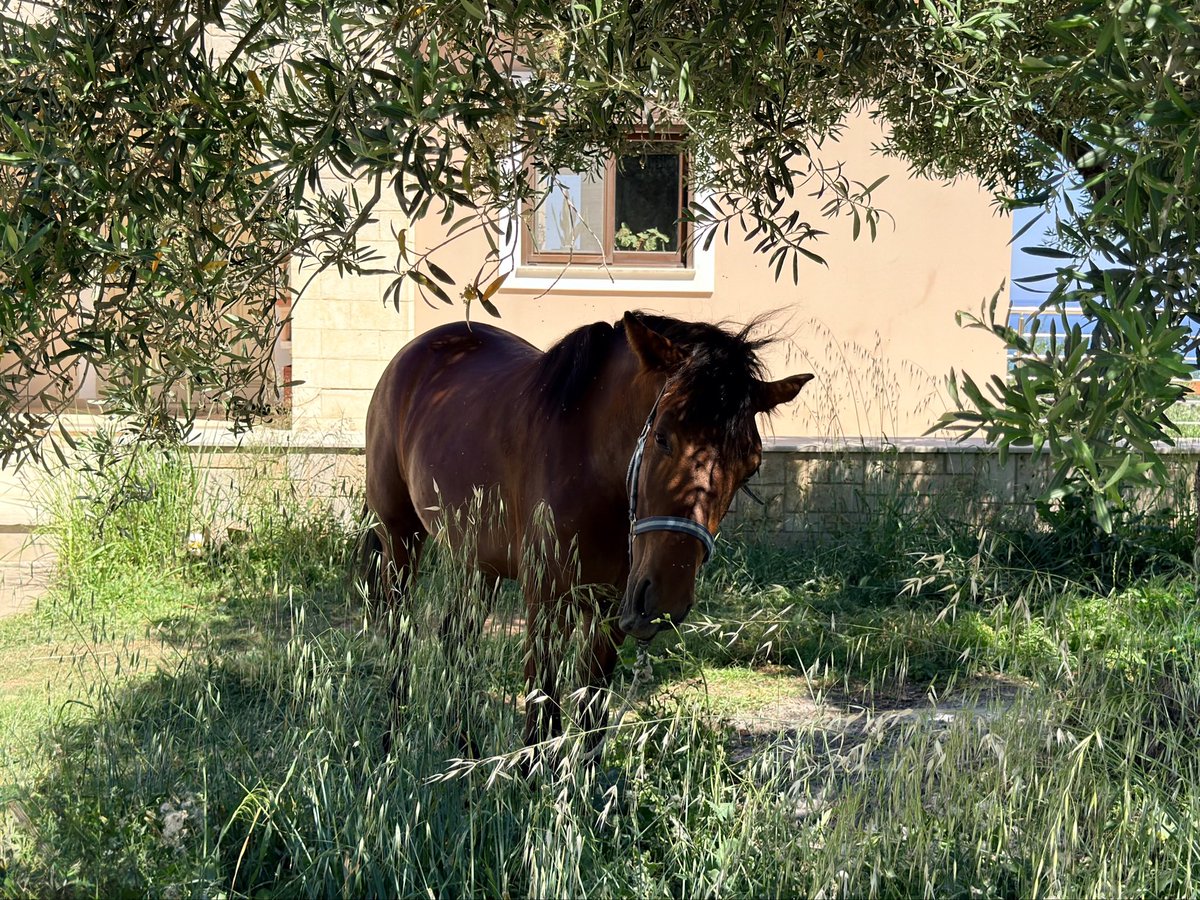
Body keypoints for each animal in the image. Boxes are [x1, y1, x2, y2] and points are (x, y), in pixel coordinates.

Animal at [363, 311, 812, 751]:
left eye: (751, 465)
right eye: (662, 437)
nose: (664, 600)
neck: (588, 466)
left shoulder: (609, 611)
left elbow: (591, 717)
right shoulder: (546, 603)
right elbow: (541, 717)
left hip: (478, 561)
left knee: (457, 638)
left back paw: (465, 745)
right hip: (401, 539)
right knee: (400, 633)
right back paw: (393, 741)